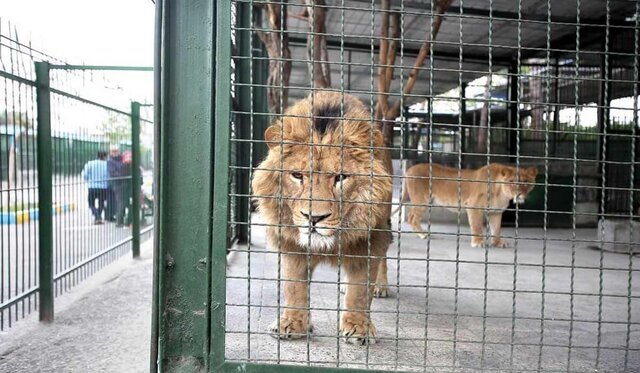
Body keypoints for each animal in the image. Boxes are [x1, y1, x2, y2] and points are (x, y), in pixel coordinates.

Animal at [251, 89, 392, 342]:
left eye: (340, 177)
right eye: (297, 175)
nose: (313, 218)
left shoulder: (371, 238)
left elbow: (360, 289)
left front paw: (359, 327)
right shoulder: (291, 243)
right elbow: (294, 285)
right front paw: (293, 323)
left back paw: (381, 286)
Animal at [392, 163, 536, 247]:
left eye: (525, 182)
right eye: (511, 181)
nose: (519, 194)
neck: (502, 193)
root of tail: (409, 169)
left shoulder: (496, 212)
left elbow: (496, 229)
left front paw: (498, 243)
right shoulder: (473, 206)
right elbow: (477, 226)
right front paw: (478, 242)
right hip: (422, 200)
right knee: (412, 218)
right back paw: (423, 235)